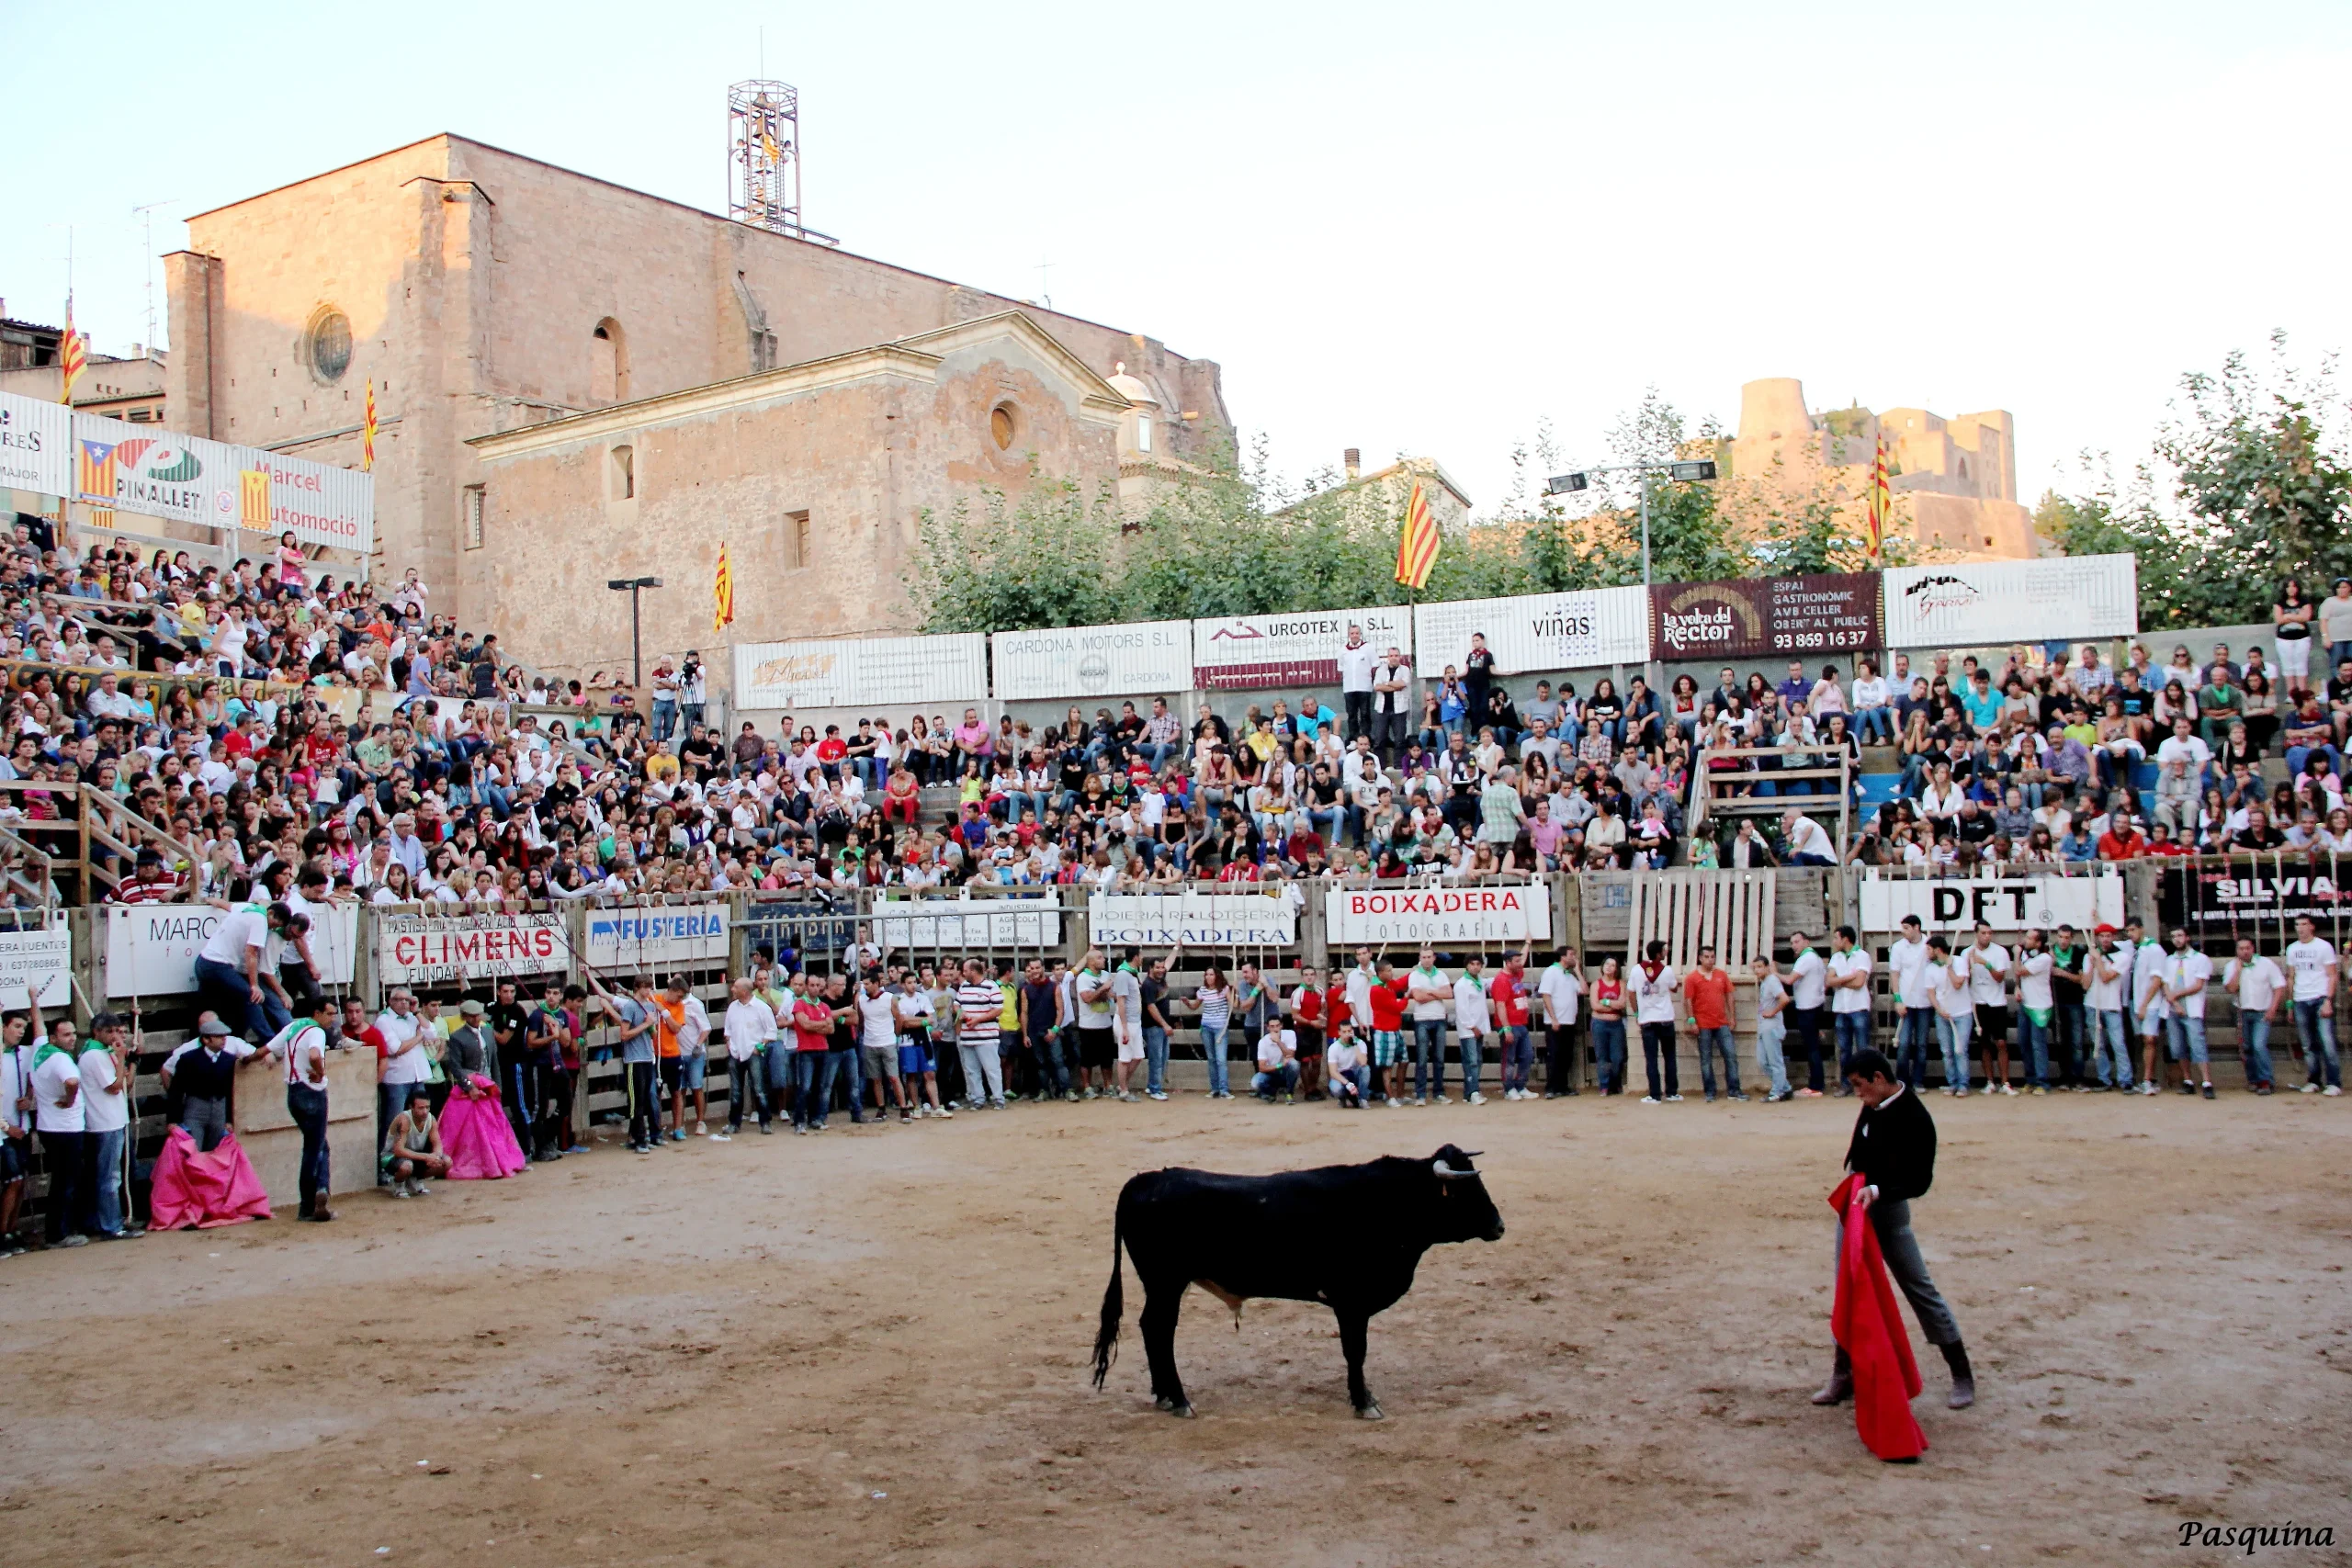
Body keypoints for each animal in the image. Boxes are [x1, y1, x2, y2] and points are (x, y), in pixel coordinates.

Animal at [1086, 1142, 1505, 1419]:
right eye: (1466, 1190)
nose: (1499, 1226)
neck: (1385, 1204)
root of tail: (1143, 1181)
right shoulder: (1351, 1302)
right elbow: (1356, 1351)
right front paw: (1364, 1402)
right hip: (1166, 1283)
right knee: (1159, 1329)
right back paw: (1179, 1399)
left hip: (1160, 1285)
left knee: (1151, 1328)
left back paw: (1164, 1395)